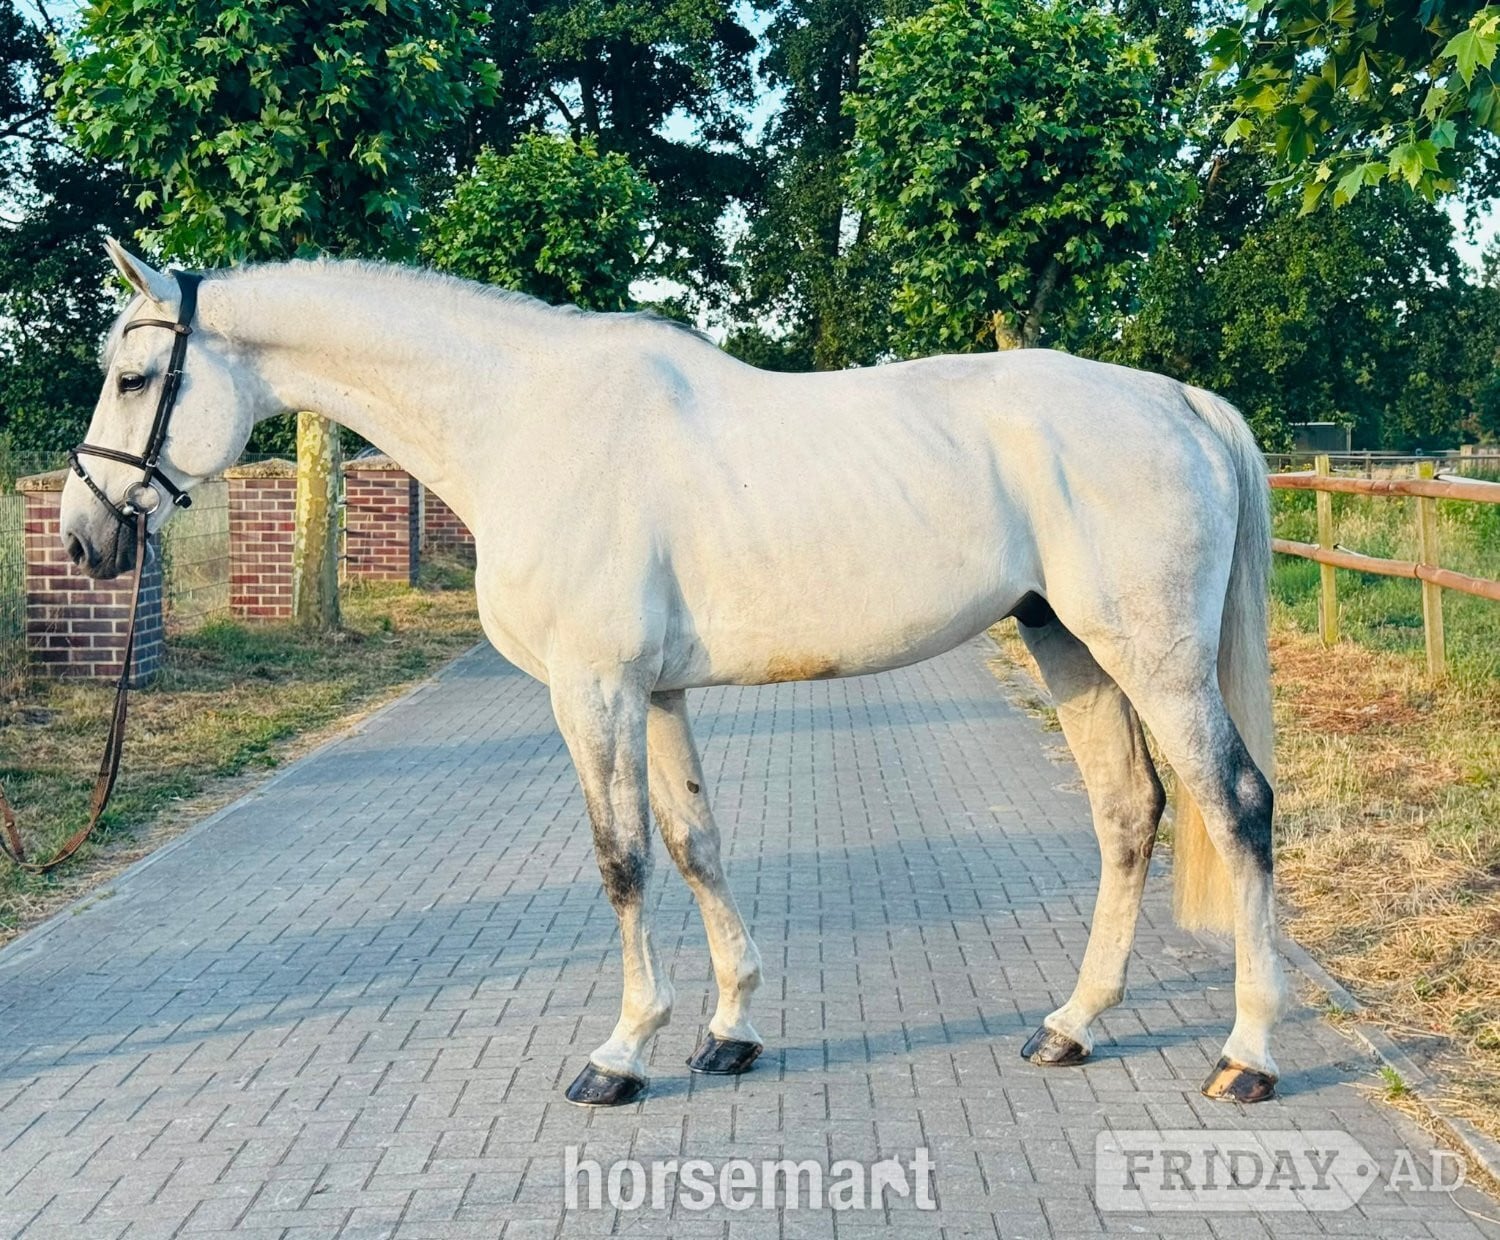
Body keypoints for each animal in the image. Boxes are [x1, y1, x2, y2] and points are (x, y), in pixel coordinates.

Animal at [60, 239, 1287, 1108]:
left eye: (135, 375)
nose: (86, 536)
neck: (526, 424)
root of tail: (1179, 402)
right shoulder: (653, 692)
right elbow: (696, 843)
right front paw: (729, 1031)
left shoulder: (592, 687)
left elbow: (623, 862)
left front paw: (621, 1053)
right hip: (1068, 643)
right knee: (1129, 813)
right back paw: (1071, 1026)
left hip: (1151, 655)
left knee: (1235, 804)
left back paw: (1247, 1053)